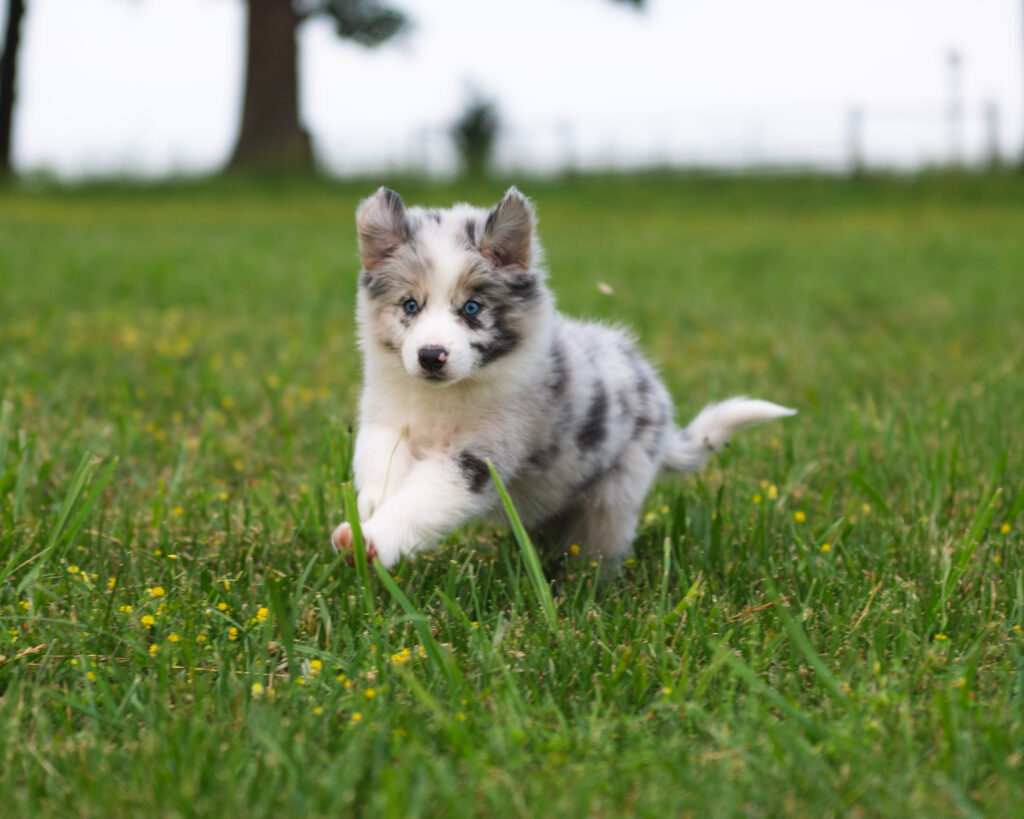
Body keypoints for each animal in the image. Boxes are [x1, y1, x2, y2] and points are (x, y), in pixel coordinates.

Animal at [331, 185, 794, 569]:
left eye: (471, 308)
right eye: (410, 305)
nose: (431, 357)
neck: (444, 397)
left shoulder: (477, 460)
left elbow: (421, 501)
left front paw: (372, 540)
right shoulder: (386, 421)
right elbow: (381, 469)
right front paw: (368, 511)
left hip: (615, 494)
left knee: (598, 545)